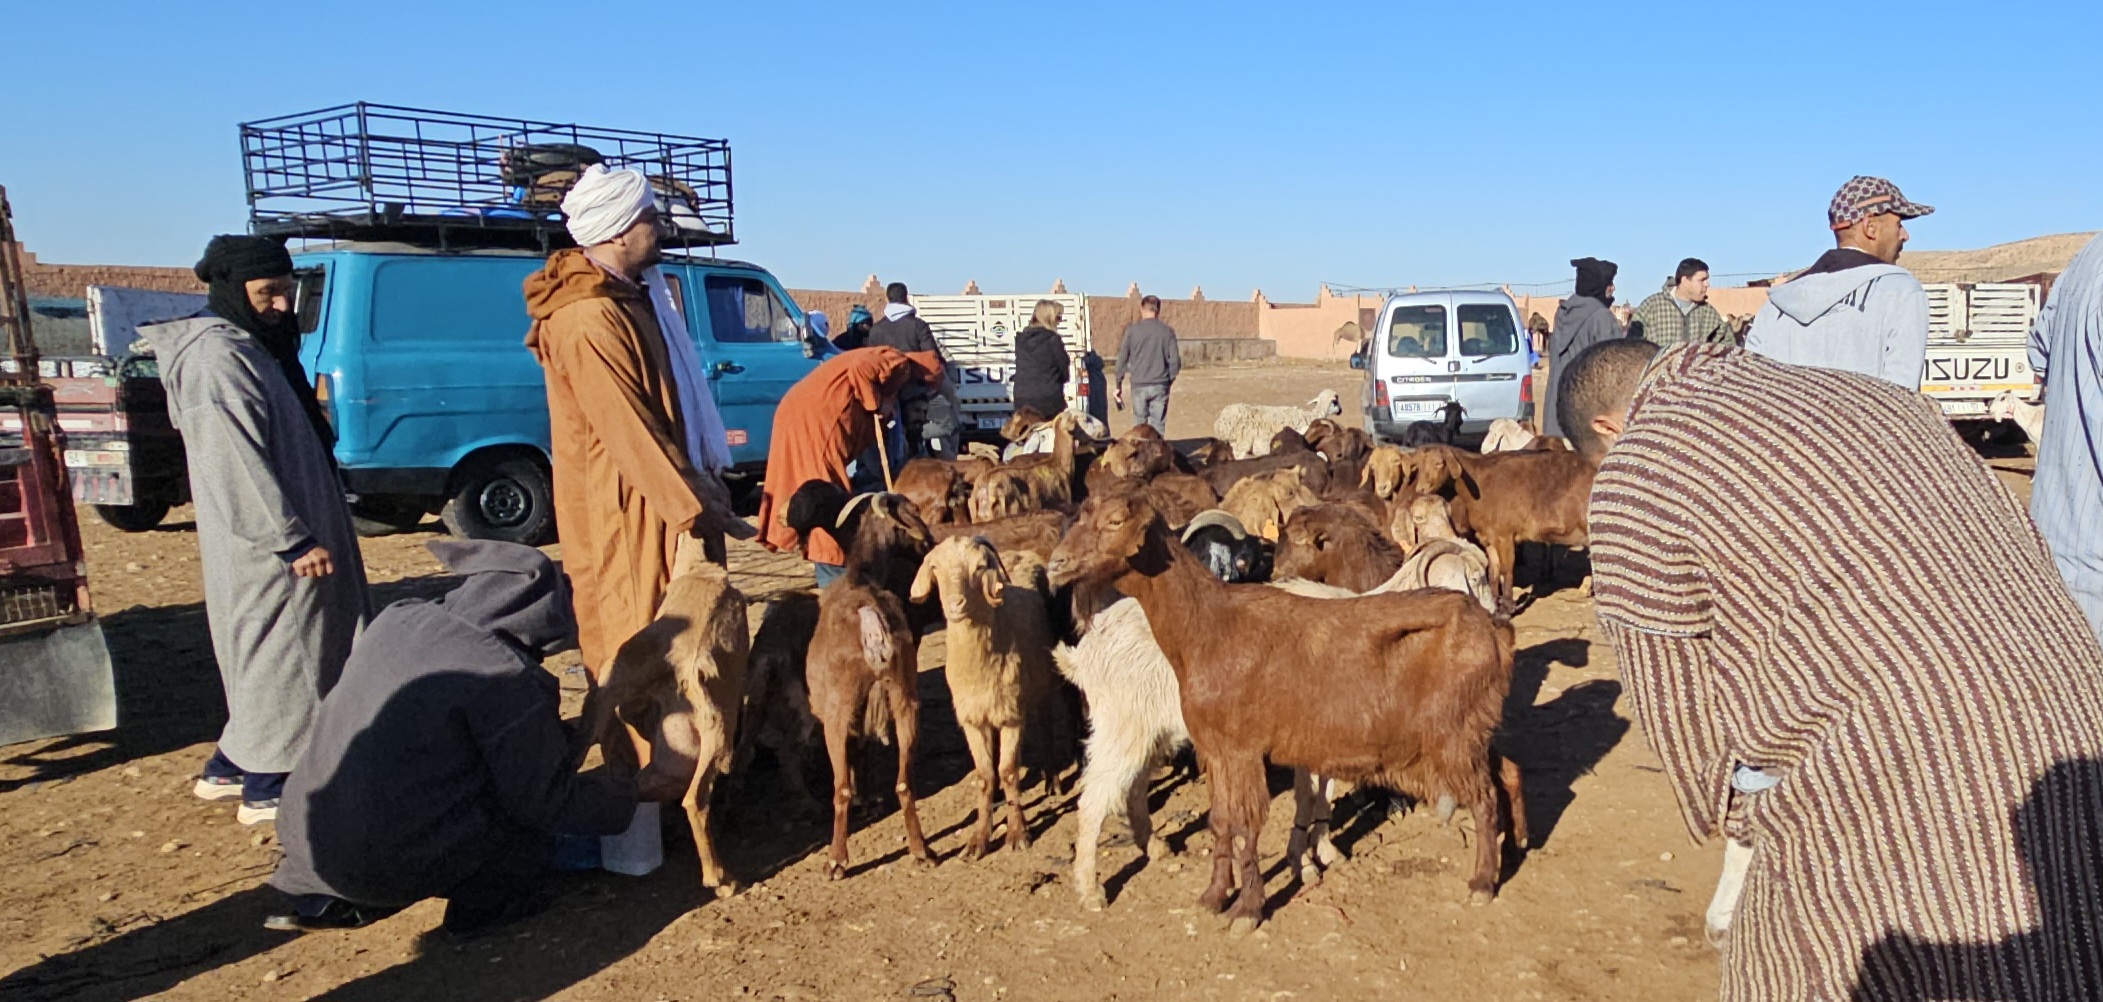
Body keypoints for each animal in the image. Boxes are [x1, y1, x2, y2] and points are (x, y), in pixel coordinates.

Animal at [576, 547, 749, 896]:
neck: (698, 569)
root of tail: (680, 668)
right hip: (715, 733)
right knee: (694, 800)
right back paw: (720, 879)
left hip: (625, 715)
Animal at [909, 536, 1056, 859]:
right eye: (935, 568)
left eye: (978, 568)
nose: (955, 604)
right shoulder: (973, 720)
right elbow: (985, 775)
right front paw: (978, 839)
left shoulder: (1012, 715)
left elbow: (1009, 771)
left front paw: (1017, 833)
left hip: (1042, 682)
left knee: (1045, 725)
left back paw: (1053, 781)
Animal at [1046, 493, 1527, 930]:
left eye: (1115, 521)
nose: (1056, 564)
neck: (1209, 626)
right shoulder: (1221, 750)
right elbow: (1226, 820)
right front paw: (1220, 894)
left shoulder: (1251, 749)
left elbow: (1255, 820)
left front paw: (1252, 903)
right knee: (1103, 795)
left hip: (1457, 733)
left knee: (1487, 794)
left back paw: (1484, 880)